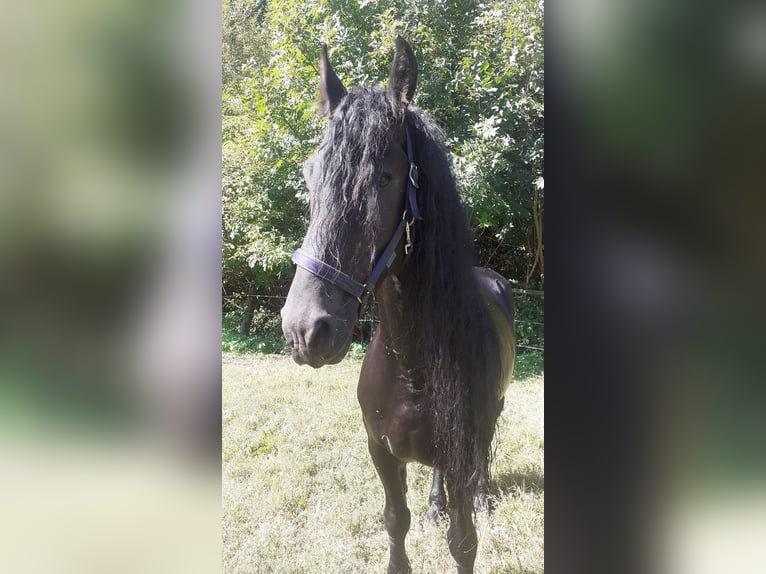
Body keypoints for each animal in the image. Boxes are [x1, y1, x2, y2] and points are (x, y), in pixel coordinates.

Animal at [280, 36, 516, 574]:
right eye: (310, 173)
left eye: (385, 178)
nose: (305, 329)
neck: (411, 367)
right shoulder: (382, 452)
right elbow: (396, 522)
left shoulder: (461, 451)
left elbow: (464, 541)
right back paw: (435, 505)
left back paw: (482, 497)